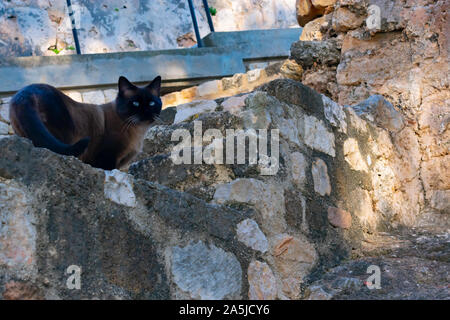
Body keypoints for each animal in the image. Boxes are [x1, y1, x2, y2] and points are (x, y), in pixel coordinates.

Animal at [9, 75, 162, 170]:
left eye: (152, 103)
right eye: (135, 103)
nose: (146, 112)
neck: (138, 132)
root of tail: (25, 92)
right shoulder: (107, 159)